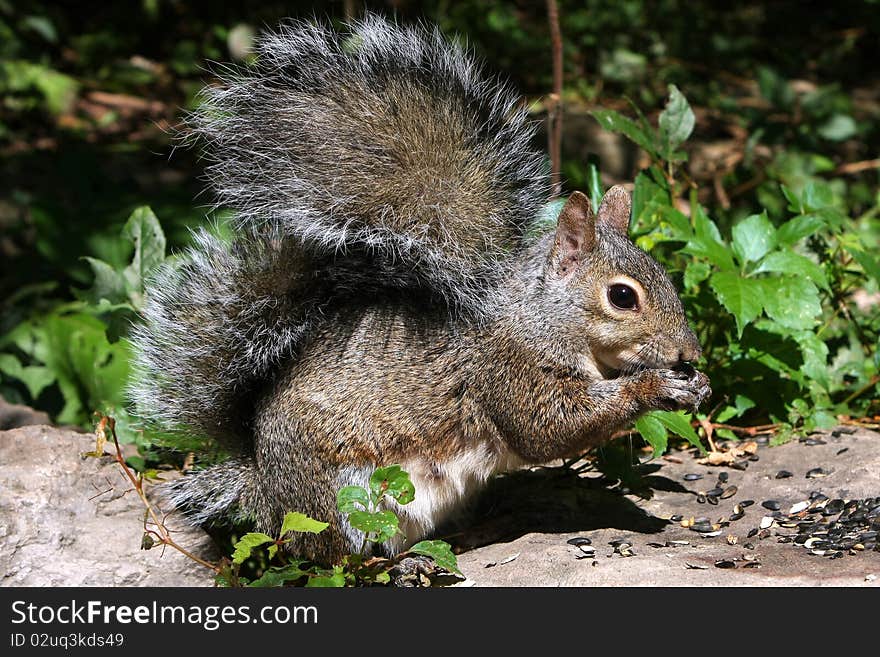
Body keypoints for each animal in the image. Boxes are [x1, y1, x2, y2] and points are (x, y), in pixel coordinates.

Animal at [129, 14, 708, 564]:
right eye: (622, 297)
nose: (690, 354)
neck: (542, 316)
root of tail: (264, 488)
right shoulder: (508, 370)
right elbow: (551, 428)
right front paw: (655, 387)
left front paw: (695, 385)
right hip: (345, 500)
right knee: (335, 556)